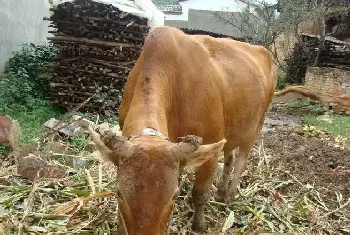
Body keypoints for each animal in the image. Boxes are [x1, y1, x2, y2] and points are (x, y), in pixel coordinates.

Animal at [89, 25, 276, 233]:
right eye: (119, 192)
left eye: (173, 195)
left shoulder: (211, 150)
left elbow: (200, 193)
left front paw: (199, 225)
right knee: (230, 157)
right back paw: (220, 192)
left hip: (257, 127)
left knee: (241, 161)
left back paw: (229, 195)